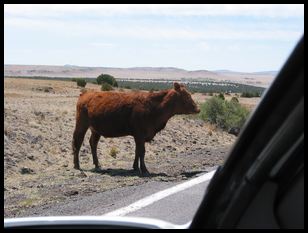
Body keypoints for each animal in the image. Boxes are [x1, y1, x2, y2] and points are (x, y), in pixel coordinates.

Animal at [73, 83, 201, 176]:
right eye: (187, 96)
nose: (198, 109)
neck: (154, 107)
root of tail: (85, 94)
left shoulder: (139, 136)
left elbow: (137, 151)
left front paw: (135, 167)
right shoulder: (140, 134)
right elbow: (142, 152)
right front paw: (144, 170)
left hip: (96, 129)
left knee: (93, 143)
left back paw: (97, 164)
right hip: (81, 124)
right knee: (77, 142)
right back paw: (77, 166)